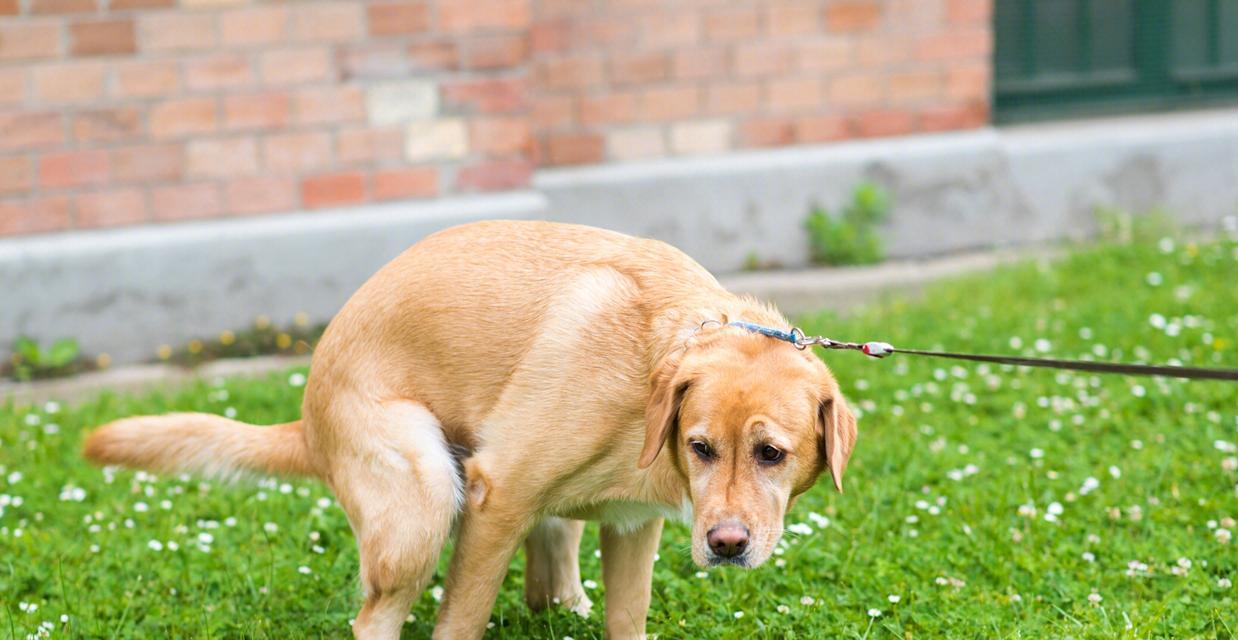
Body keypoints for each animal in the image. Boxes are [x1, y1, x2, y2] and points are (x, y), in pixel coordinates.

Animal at [82, 220, 856, 638]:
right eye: (701, 447)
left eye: (771, 454)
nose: (726, 545)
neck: (649, 371)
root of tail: (307, 419)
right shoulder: (496, 496)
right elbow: (461, 618)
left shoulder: (634, 526)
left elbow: (625, 617)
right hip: (423, 499)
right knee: (374, 619)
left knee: (549, 577)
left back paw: (566, 602)